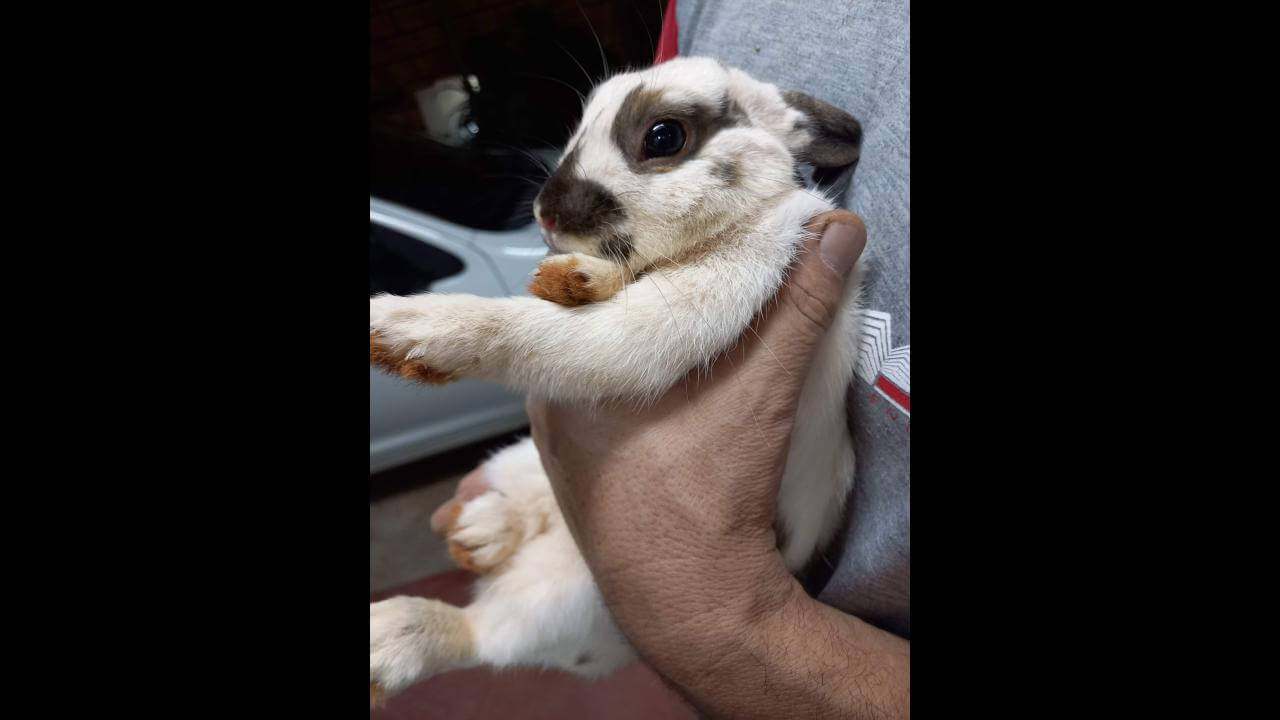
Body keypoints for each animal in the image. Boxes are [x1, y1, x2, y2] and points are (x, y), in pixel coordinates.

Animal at [369, 56, 867, 705]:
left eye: (663, 136)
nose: (546, 214)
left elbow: (533, 332)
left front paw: (402, 325)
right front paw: (573, 278)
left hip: (570, 599)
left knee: (478, 635)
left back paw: (390, 634)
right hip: (519, 464)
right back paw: (483, 532)